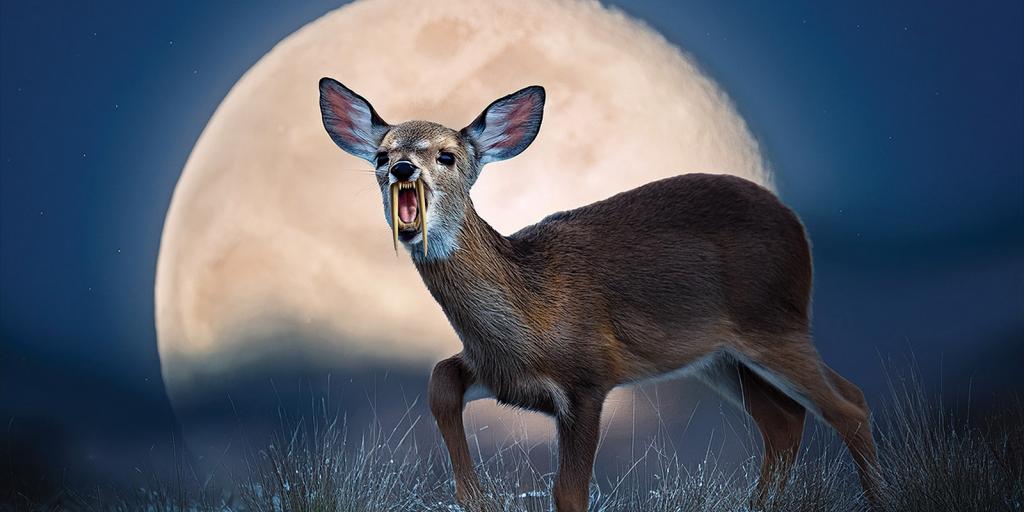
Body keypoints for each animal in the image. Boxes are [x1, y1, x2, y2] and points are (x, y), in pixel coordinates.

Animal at [318, 78, 880, 511]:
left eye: (447, 155)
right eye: (382, 154)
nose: (402, 168)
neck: (530, 314)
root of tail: (798, 229)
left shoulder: (589, 376)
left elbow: (569, 493)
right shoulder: (495, 371)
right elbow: (439, 381)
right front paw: (474, 495)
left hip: (772, 320)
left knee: (848, 404)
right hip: (719, 356)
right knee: (784, 419)